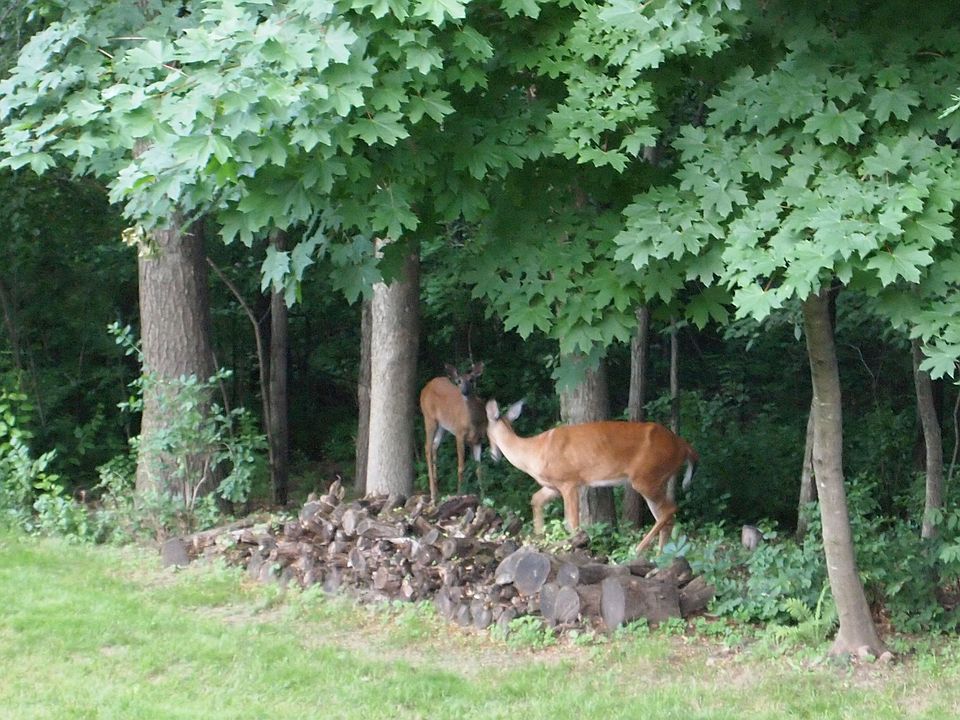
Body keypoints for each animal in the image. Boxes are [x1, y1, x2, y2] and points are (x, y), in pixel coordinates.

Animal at [419, 362, 487, 503]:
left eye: (472, 380)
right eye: (458, 381)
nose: (464, 392)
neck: (473, 423)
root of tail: (426, 387)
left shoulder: (478, 439)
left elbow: (479, 469)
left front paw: (484, 497)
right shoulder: (459, 434)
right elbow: (461, 467)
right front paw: (460, 494)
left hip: (443, 426)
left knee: (434, 446)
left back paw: (437, 490)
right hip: (429, 418)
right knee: (427, 447)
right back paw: (433, 494)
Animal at [484, 398, 699, 553]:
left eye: (485, 432)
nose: (493, 456)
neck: (533, 452)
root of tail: (684, 447)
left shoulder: (569, 481)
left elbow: (572, 522)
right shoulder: (552, 486)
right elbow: (536, 500)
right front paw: (539, 539)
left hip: (647, 476)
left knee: (670, 509)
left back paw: (638, 550)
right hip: (658, 479)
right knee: (666, 517)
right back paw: (660, 557)